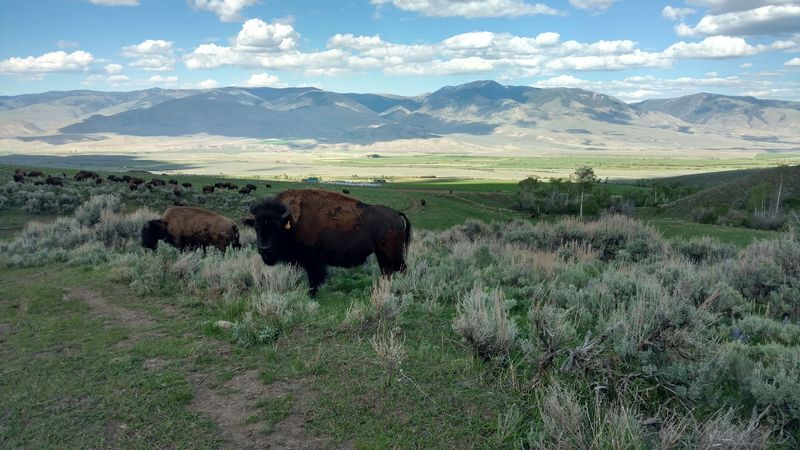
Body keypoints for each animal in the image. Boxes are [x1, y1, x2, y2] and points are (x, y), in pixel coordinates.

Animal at [245, 189, 411, 296]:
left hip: (392, 253)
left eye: (277, 226)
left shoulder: (313, 261)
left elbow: (314, 279)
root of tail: (396, 214)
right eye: (256, 227)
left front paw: (311, 296)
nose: (264, 249)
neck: (292, 221)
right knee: (387, 271)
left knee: (401, 269)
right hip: (381, 253)